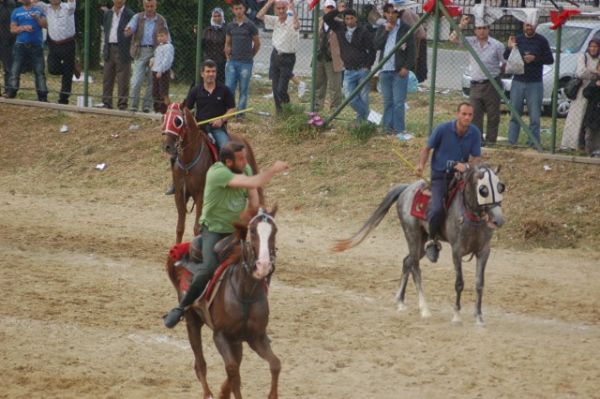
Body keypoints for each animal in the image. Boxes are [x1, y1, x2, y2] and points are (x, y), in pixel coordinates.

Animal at [162, 102, 262, 244]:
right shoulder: (180, 195)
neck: (188, 161)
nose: (167, 146)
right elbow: (180, 227)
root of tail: (242, 139)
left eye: (178, 121)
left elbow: (197, 228)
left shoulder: (200, 195)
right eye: (164, 118)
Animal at [165, 206, 280, 399]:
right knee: (200, 363)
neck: (245, 293)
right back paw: (208, 394)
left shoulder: (256, 337)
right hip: (192, 320)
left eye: (274, 231)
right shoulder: (221, 335)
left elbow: (275, 364)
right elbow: (233, 370)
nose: (263, 265)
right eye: (252, 231)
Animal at [336, 165, 504, 324]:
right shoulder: (457, 251)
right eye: (483, 190)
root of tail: (406, 189)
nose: (499, 220)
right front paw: (456, 316)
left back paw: (400, 301)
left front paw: (479, 317)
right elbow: (459, 283)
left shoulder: (484, 251)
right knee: (416, 268)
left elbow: (479, 284)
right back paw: (424, 308)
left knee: (407, 261)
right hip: (412, 236)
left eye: (500, 187)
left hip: (421, 245)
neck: (471, 217)